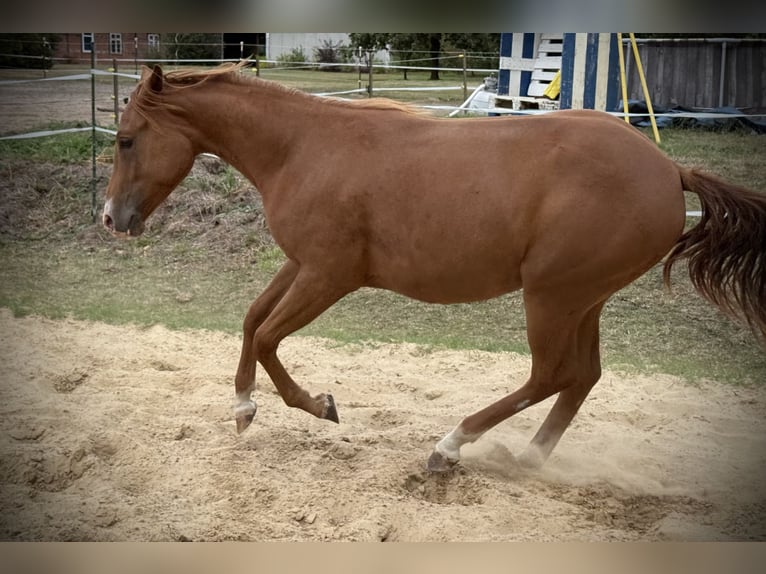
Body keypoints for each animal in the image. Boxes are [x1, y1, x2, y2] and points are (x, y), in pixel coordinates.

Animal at [103, 62, 766, 472]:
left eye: (126, 139)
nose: (111, 219)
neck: (302, 148)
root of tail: (671, 170)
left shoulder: (329, 276)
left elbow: (267, 336)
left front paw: (320, 406)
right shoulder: (303, 265)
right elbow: (249, 321)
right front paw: (243, 407)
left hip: (552, 296)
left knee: (552, 374)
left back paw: (450, 447)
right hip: (584, 299)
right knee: (583, 377)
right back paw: (528, 459)